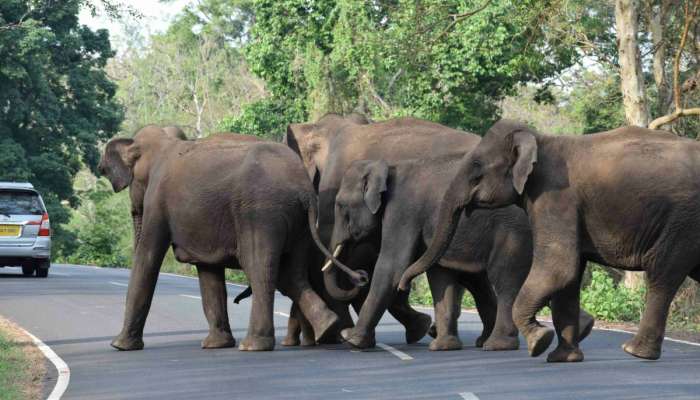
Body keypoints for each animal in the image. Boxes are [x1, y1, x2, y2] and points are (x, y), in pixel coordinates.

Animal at [98, 126, 360, 352]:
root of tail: (304, 190)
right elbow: (208, 273)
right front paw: (216, 345)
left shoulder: (157, 201)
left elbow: (148, 258)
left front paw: (119, 346)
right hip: (297, 223)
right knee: (292, 274)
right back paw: (328, 326)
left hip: (260, 213)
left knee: (259, 268)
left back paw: (253, 345)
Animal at [326, 156, 592, 350]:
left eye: (340, 205)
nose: (360, 276)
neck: (386, 166)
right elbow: (440, 276)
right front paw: (443, 347)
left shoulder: (403, 212)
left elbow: (392, 265)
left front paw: (352, 340)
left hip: (512, 235)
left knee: (505, 282)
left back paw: (498, 345)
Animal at [396, 119, 700, 362]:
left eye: (477, 167)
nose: (402, 285)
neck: (539, 140)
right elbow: (569, 276)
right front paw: (562, 358)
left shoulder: (555, 196)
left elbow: (558, 267)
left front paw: (539, 343)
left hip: (683, 220)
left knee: (662, 274)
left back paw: (635, 352)